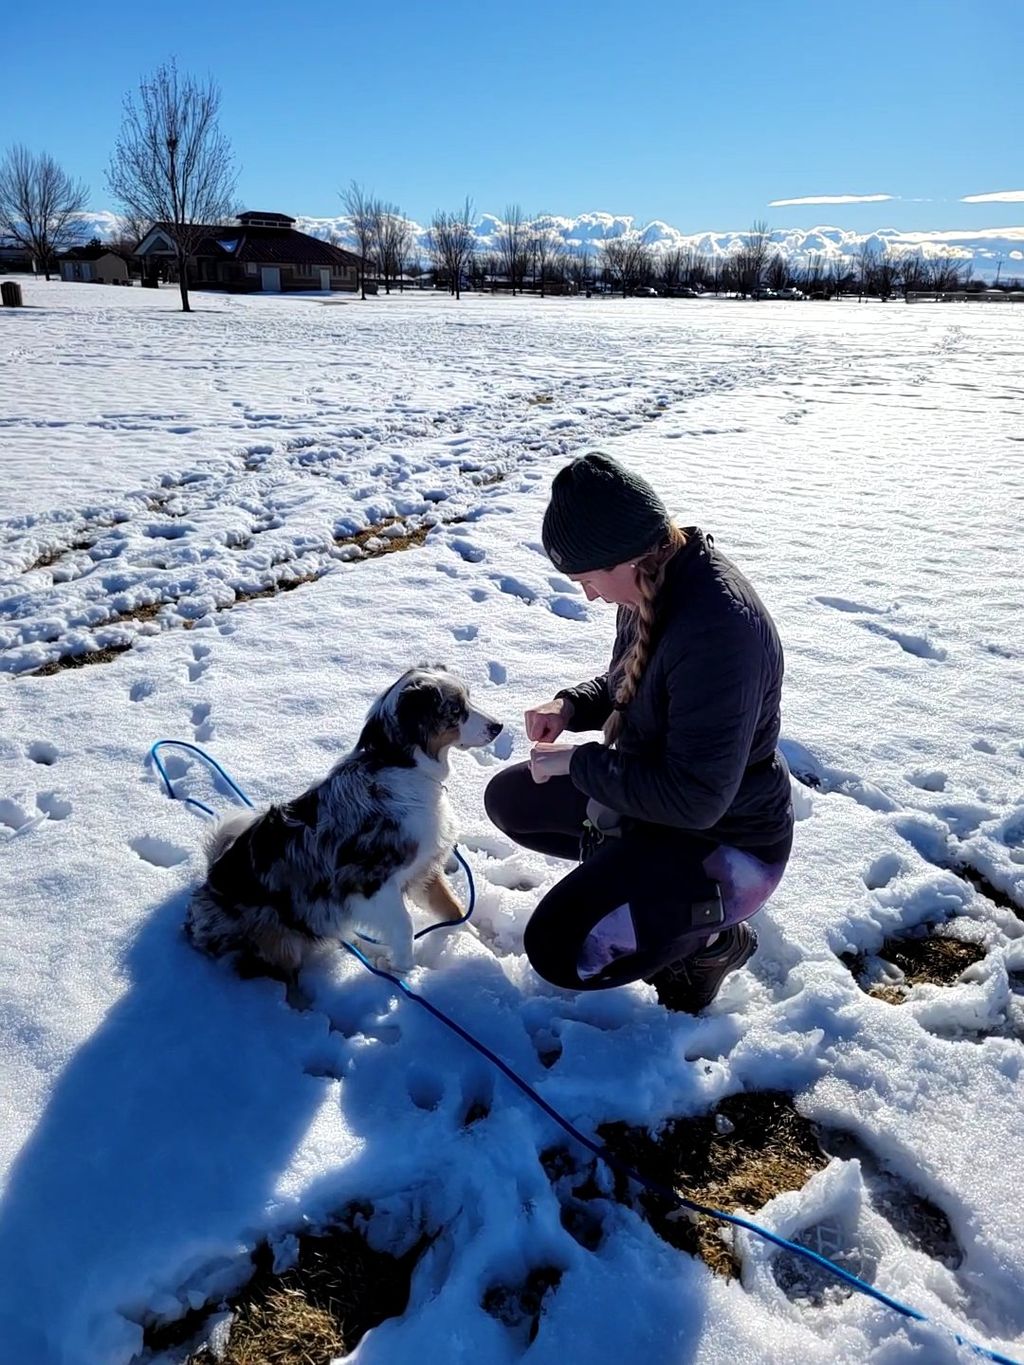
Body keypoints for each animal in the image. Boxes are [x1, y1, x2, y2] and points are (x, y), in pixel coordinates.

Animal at [187, 666, 505, 977]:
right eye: (455, 710)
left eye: (468, 698)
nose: (498, 726)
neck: (400, 766)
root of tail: (203, 894)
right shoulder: (369, 885)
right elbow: (404, 928)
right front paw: (402, 972)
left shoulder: (423, 870)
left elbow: (454, 911)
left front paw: (487, 948)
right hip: (279, 938)